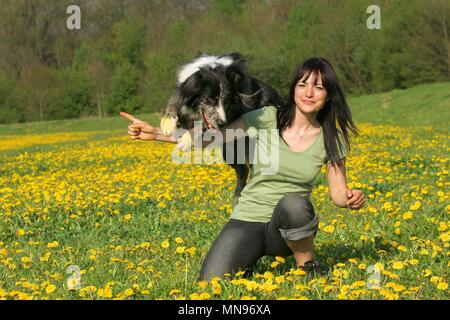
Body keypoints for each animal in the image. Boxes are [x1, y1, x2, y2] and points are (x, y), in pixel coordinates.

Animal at [160, 52, 284, 206]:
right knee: (243, 170)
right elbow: (176, 100)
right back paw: (237, 199)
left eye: (226, 101)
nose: (221, 123)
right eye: (209, 99)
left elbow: (201, 125)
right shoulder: (184, 89)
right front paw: (167, 122)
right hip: (229, 149)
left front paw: (186, 140)